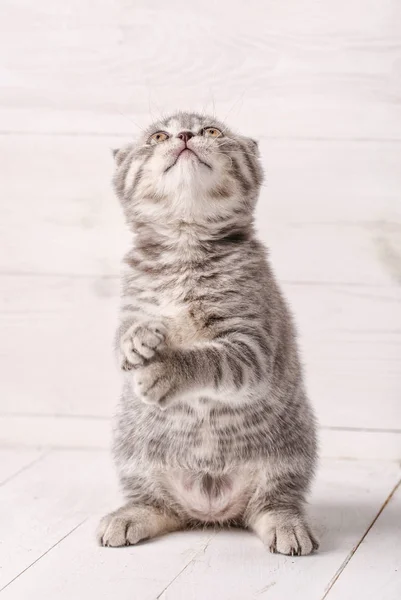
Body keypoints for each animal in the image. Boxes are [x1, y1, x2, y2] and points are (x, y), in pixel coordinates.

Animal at [97, 110, 318, 556]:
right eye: (157, 137)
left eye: (211, 131)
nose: (184, 135)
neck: (185, 249)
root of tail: (210, 510)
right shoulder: (133, 299)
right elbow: (121, 334)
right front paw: (135, 341)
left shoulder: (251, 343)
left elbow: (211, 358)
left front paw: (167, 372)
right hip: (132, 454)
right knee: (156, 503)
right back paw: (131, 515)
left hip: (291, 454)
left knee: (273, 502)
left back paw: (287, 525)